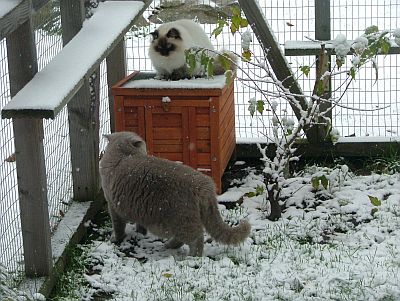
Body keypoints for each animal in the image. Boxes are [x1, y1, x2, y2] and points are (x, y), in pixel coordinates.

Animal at [99, 131, 250, 255]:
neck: (124, 155)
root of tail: (204, 185)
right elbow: (139, 225)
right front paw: (140, 233)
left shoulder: (112, 205)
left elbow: (118, 226)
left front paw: (116, 239)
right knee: (186, 238)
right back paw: (169, 246)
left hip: (181, 220)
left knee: (196, 239)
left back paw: (192, 258)